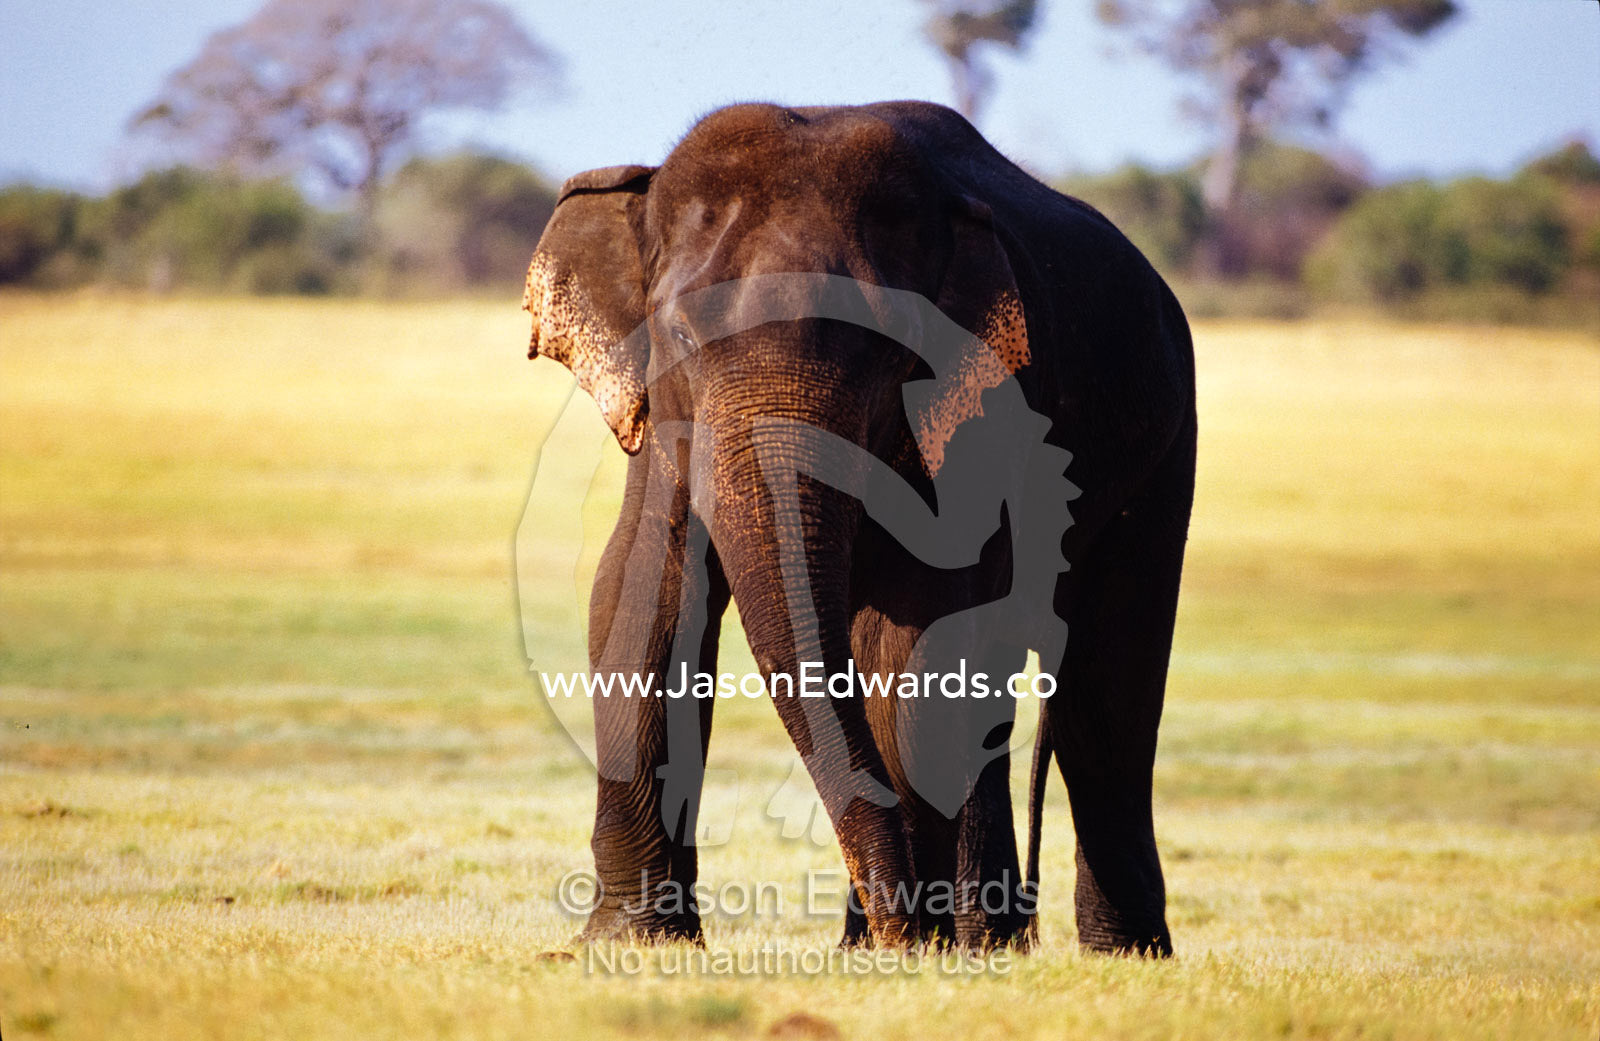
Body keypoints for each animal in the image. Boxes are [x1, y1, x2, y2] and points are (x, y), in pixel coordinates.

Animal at [521, 101, 1194, 956]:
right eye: (679, 337)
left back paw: (1101, 951)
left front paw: (914, 944)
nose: (895, 925)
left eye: (887, 346)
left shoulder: (974, 412)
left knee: (1107, 686)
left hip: (1165, 439)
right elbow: (640, 593)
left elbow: (913, 634)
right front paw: (635, 942)